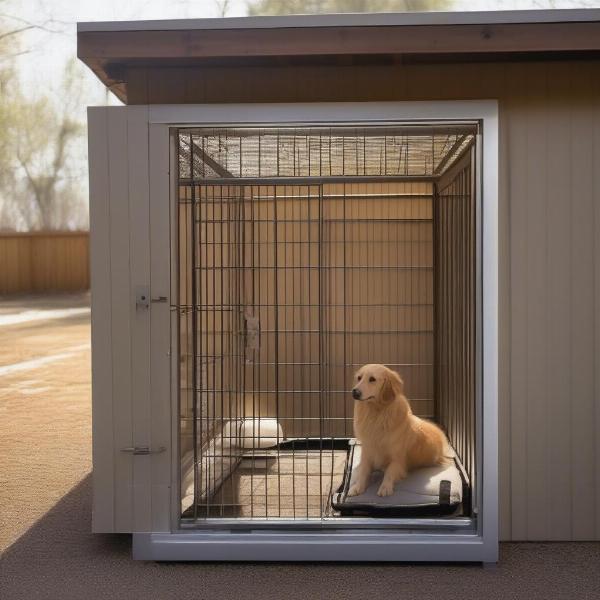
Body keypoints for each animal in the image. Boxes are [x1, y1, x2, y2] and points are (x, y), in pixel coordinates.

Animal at [346, 366, 450, 496]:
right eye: (359, 378)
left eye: (372, 379)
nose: (354, 392)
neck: (376, 413)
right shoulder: (367, 452)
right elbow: (363, 471)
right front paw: (357, 486)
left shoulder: (397, 459)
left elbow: (389, 472)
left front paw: (385, 487)